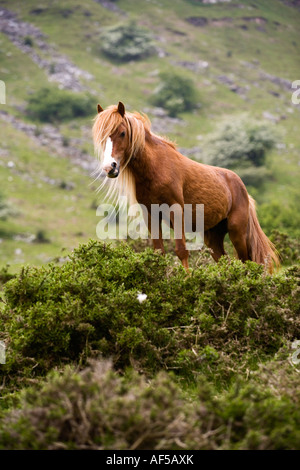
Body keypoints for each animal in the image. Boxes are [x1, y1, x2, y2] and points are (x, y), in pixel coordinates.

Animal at [92, 102, 280, 272]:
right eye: (102, 138)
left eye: (122, 133)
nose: (110, 167)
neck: (157, 168)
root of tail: (243, 189)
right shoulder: (151, 215)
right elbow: (159, 253)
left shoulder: (176, 210)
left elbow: (181, 251)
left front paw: (187, 280)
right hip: (213, 237)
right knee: (226, 261)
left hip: (237, 232)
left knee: (246, 261)